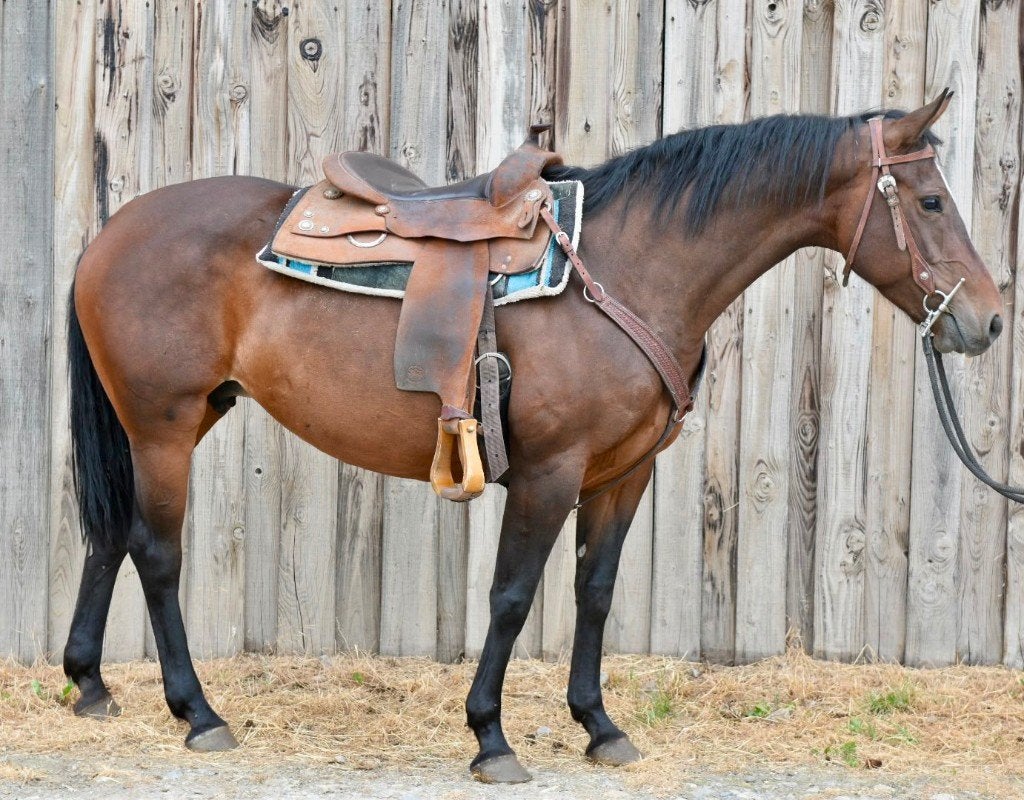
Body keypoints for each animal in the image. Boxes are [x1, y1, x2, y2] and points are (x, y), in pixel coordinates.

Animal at [65, 90, 1001, 783]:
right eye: (929, 201)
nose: (988, 321)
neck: (627, 269)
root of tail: (111, 233)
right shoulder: (550, 474)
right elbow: (513, 596)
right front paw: (491, 737)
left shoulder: (621, 476)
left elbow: (595, 592)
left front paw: (600, 726)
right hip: (162, 425)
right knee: (155, 553)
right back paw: (198, 713)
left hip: (179, 417)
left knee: (109, 537)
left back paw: (89, 685)